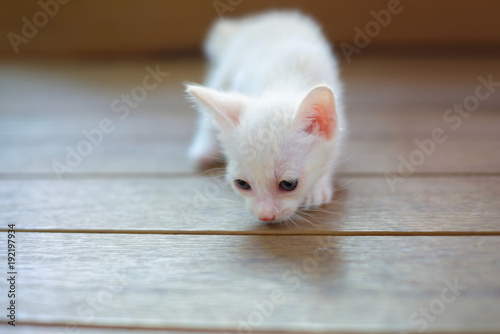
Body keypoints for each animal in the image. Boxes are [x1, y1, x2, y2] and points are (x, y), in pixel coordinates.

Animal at [186, 11, 346, 223]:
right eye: (241, 183)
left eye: (288, 184)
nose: (265, 216)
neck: (282, 82)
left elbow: (332, 153)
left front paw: (318, 187)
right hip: (226, 67)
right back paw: (203, 148)